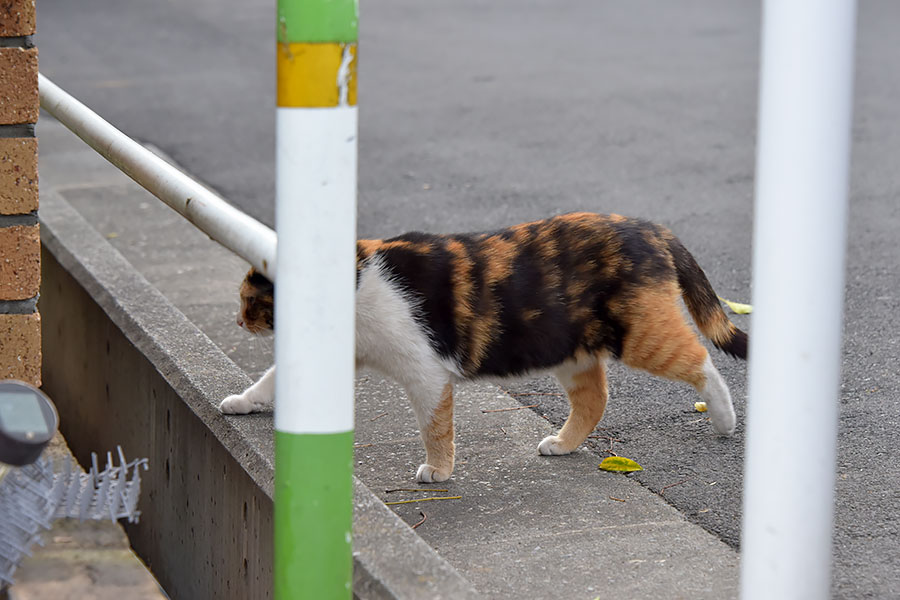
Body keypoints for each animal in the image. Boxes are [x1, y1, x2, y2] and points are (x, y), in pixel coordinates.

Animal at [221, 212, 748, 482]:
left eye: (250, 300)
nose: (237, 320)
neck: (356, 281)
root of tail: (648, 226)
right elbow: (271, 379)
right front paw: (244, 402)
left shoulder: (426, 375)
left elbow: (435, 428)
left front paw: (438, 471)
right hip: (571, 349)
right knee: (595, 399)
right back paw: (563, 443)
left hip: (641, 336)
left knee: (702, 362)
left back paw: (724, 419)